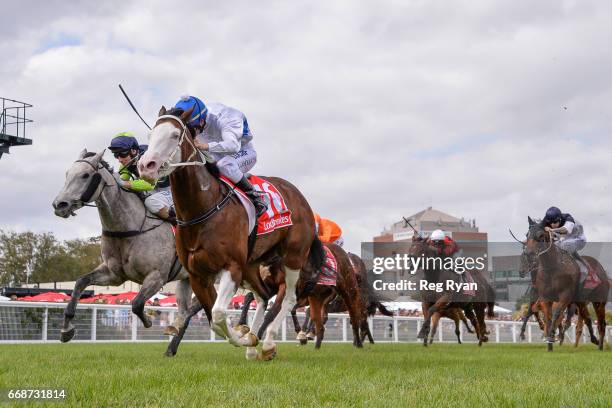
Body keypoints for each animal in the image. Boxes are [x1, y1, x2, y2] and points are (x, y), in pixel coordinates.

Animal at [52, 149, 201, 354]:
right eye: (67, 174)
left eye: (85, 175)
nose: (59, 205)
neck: (129, 228)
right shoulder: (114, 275)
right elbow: (80, 282)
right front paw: (66, 330)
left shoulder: (157, 276)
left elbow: (136, 304)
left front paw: (148, 321)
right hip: (185, 281)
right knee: (186, 312)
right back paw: (171, 348)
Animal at [139, 106, 326, 360]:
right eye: (150, 135)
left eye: (174, 135)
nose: (145, 165)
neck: (204, 208)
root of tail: (301, 199)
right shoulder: (197, 275)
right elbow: (213, 319)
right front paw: (245, 335)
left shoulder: (231, 266)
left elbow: (218, 313)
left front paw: (243, 335)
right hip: (252, 263)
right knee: (263, 296)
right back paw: (254, 345)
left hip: (293, 257)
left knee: (288, 299)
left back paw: (268, 343)